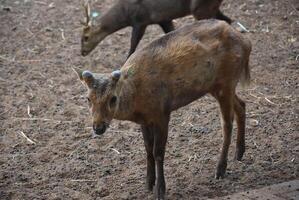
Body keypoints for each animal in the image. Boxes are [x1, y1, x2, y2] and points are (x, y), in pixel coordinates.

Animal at [74, 19, 252, 200]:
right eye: (88, 98)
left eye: (113, 98)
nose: (98, 127)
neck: (137, 100)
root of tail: (246, 42)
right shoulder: (144, 120)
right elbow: (147, 149)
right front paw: (148, 183)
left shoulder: (162, 112)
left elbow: (158, 151)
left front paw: (160, 190)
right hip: (217, 86)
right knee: (242, 105)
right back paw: (239, 153)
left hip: (226, 82)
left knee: (227, 123)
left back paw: (220, 169)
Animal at [81, 0, 233, 57]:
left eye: (86, 38)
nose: (82, 52)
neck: (125, 13)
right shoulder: (163, 19)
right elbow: (171, 33)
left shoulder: (140, 21)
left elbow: (133, 44)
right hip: (211, 7)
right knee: (228, 21)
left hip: (200, 9)